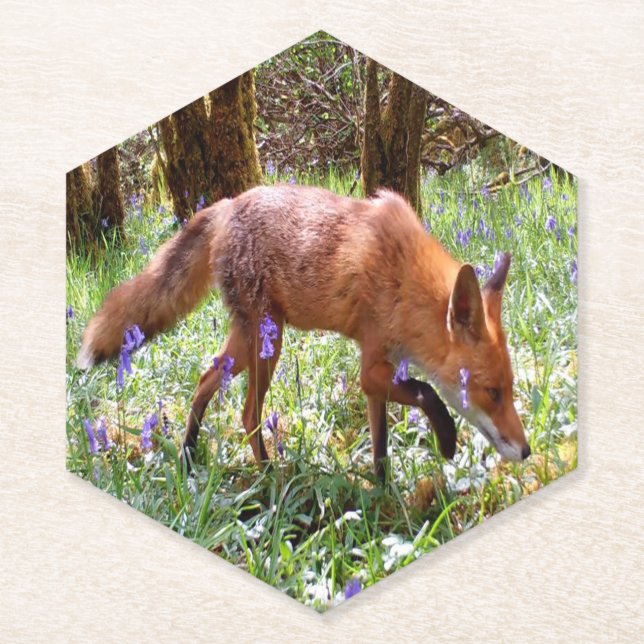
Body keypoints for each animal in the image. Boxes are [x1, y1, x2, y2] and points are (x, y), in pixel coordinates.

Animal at [77, 184, 530, 479]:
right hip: (266, 343)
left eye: (511, 389)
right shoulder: (372, 367)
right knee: (248, 413)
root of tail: (227, 204)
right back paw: (268, 478)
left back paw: (189, 456)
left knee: (206, 379)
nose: (526, 451)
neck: (404, 278)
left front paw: (384, 498)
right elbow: (428, 392)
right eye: (492, 392)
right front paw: (448, 440)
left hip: (249, 341)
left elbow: (381, 448)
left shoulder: (379, 374)